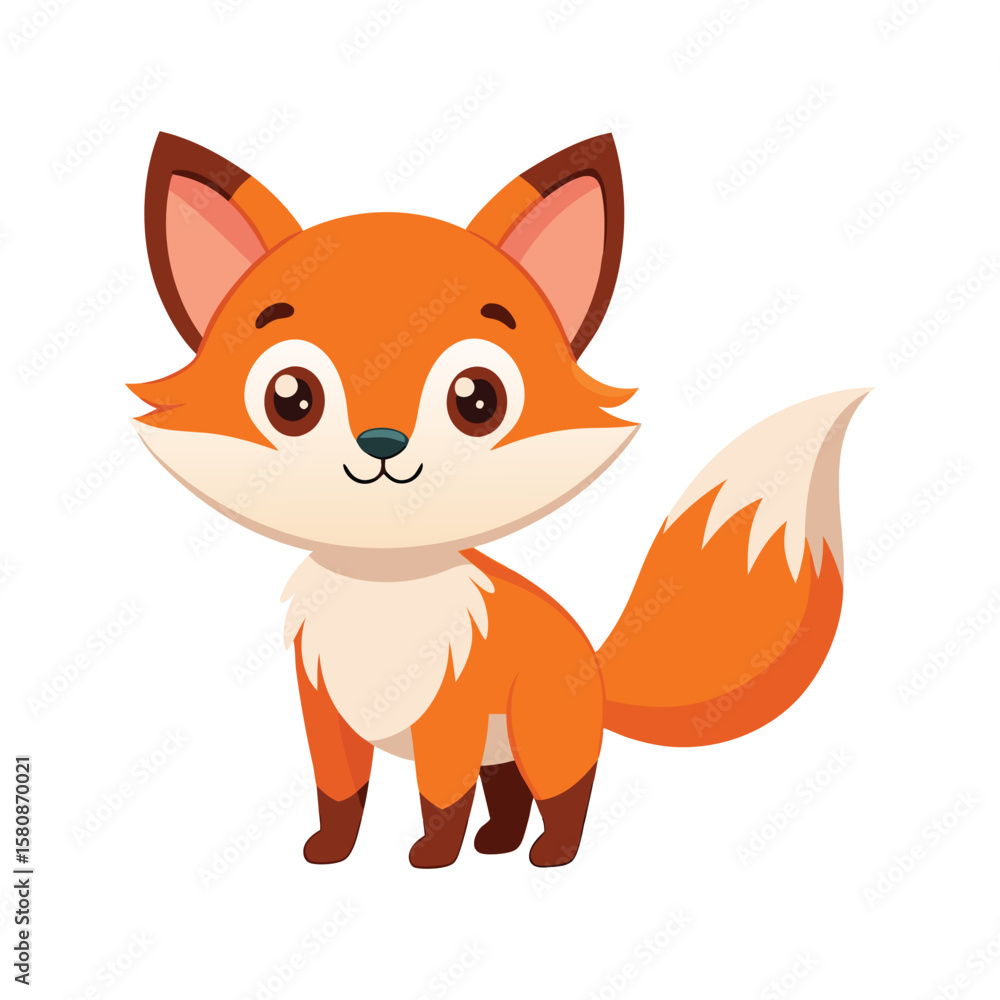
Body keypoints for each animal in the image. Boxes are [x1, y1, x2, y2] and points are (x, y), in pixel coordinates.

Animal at [130, 131, 867, 869]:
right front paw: (330, 852)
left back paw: (551, 855)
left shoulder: (449, 715)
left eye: (477, 399)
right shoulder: (325, 711)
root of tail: (592, 666)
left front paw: (432, 858)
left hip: (541, 735)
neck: (384, 594)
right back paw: (497, 844)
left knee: (565, 794)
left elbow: (440, 796)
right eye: (290, 397)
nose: (381, 443)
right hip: (504, 747)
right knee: (508, 792)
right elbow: (340, 795)